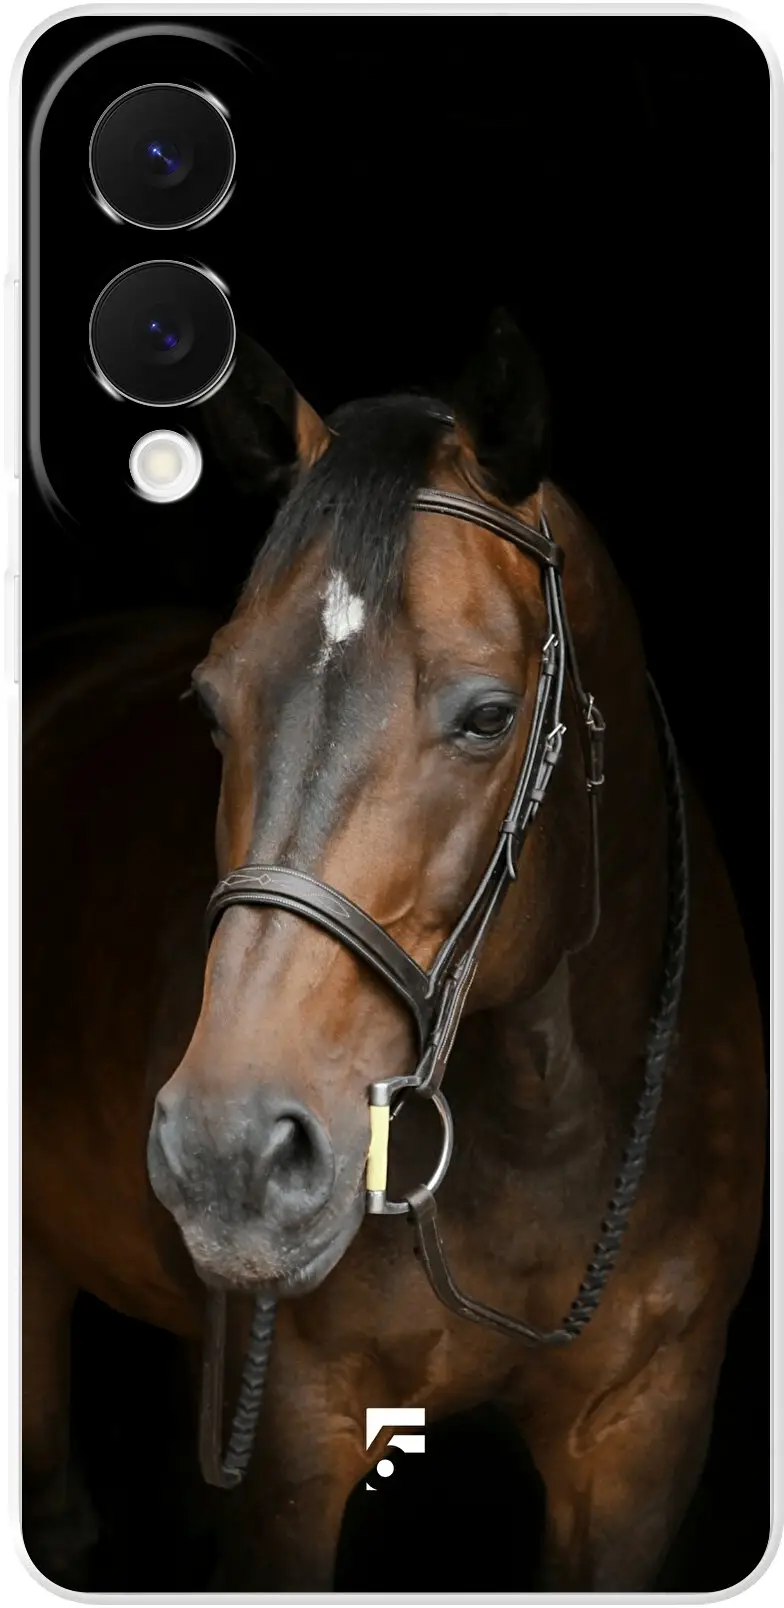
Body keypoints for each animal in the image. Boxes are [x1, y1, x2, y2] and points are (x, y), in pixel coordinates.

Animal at [22, 312, 766, 1591]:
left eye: (487, 716)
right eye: (211, 706)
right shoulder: (295, 1440)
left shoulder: (643, 1436)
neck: (543, 1124)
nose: (228, 1151)